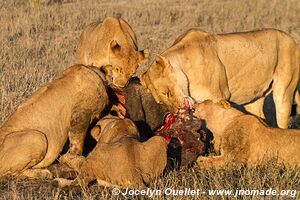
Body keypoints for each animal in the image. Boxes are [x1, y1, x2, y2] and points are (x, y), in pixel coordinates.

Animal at [141, 28, 300, 128]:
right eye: (161, 102)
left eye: (167, 92)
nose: (177, 112)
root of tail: (292, 39)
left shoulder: (219, 97)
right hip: (254, 98)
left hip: (284, 92)